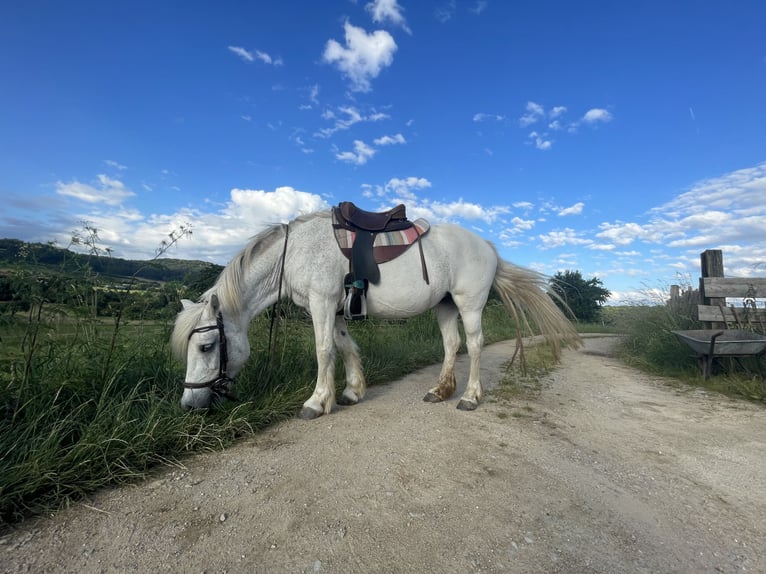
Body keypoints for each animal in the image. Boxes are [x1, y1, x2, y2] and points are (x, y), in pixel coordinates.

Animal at [172, 209, 584, 420]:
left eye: (207, 347)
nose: (189, 404)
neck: (295, 253)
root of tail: (487, 246)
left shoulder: (321, 303)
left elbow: (324, 351)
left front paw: (316, 402)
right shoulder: (334, 308)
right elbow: (344, 347)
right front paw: (351, 392)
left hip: (469, 304)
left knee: (476, 345)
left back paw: (469, 396)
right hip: (445, 305)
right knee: (452, 345)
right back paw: (440, 390)